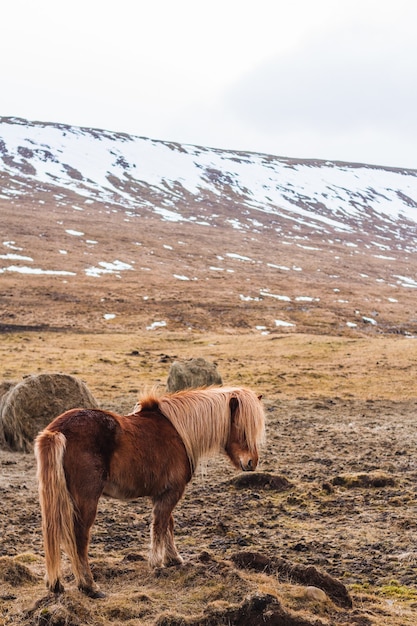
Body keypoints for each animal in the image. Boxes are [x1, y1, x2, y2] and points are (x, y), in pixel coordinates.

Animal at [34, 386, 264, 596]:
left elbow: (168, 523)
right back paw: (89, 586)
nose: (251, 462)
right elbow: (160, 525)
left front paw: (173, 559)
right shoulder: (172, 491)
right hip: (86, 500)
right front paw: (157, 563)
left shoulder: (164, 493)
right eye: (242, 427)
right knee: (79, 538)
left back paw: (56, 584)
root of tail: (57, 431)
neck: (179, 432)